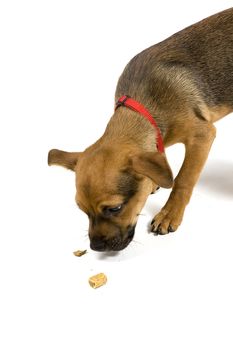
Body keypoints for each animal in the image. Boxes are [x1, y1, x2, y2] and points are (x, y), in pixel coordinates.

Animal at [47, 8, 233, 252]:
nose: (96, 247)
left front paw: (169, 213)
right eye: (81, 209)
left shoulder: (202, 135)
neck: (143, 108)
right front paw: (153, 182)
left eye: (115, 209)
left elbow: (183, 179)